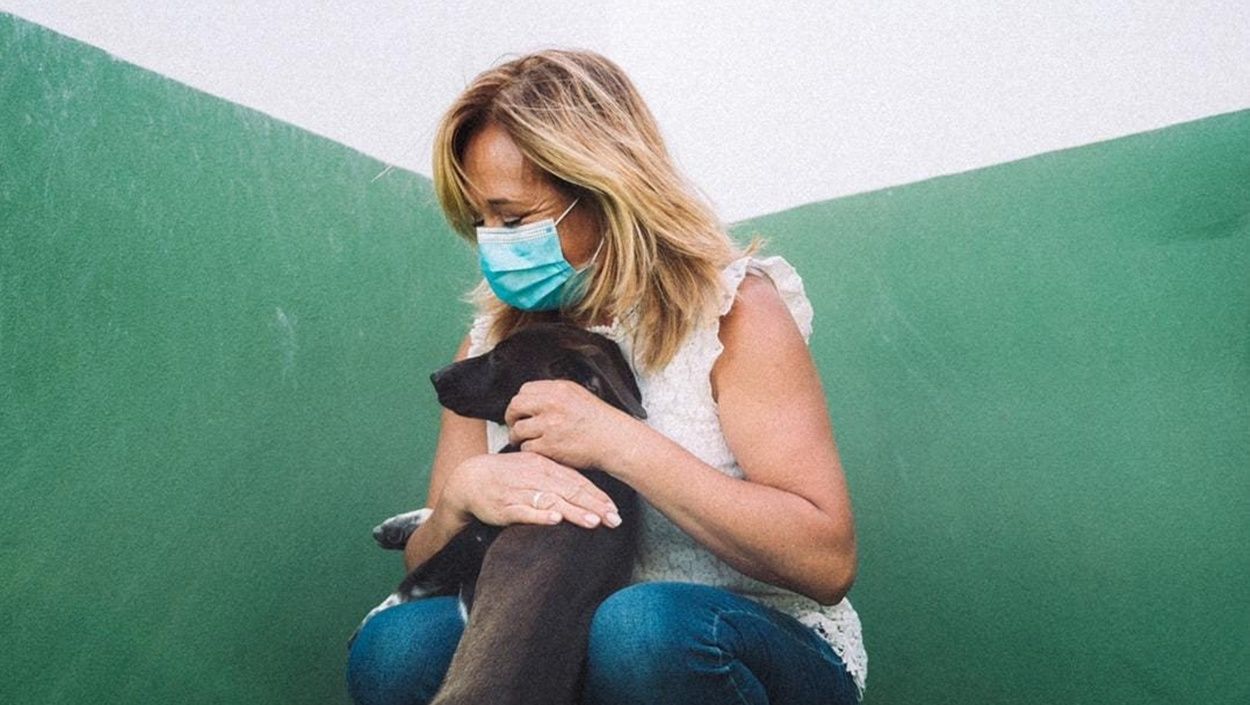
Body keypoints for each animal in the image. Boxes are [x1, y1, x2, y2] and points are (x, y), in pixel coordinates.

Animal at [357, 320, 640, 705]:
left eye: (499, 357)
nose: (435, 376)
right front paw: (396, 527)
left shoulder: (473, 541)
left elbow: (412, 583)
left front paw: (369, 619)